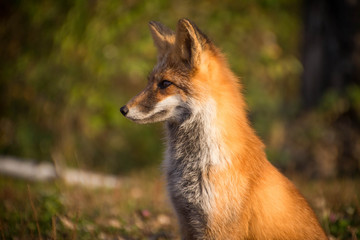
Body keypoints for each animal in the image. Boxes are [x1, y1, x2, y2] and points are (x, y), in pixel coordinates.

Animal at [119, 18, 328, 240]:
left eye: (165, 84)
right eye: (149, 81)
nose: (123, 109)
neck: (192, 166)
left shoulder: (218, 228)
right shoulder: (185, 220)